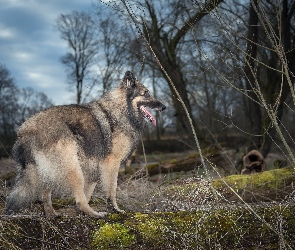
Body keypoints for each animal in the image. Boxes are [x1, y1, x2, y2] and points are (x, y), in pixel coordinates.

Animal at [4, 70, 166, 217]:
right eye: (146, 93)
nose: (164, 107)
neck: (121, 110)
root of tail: (27, 129)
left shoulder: (95, 168)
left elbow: (89, 192)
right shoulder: (111, 163)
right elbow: (111, 190)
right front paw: (115, 209)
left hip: (50, 170)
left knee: (45, 193)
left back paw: (52, 214)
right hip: (73, 168)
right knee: (79, 200)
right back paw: (94, 214)